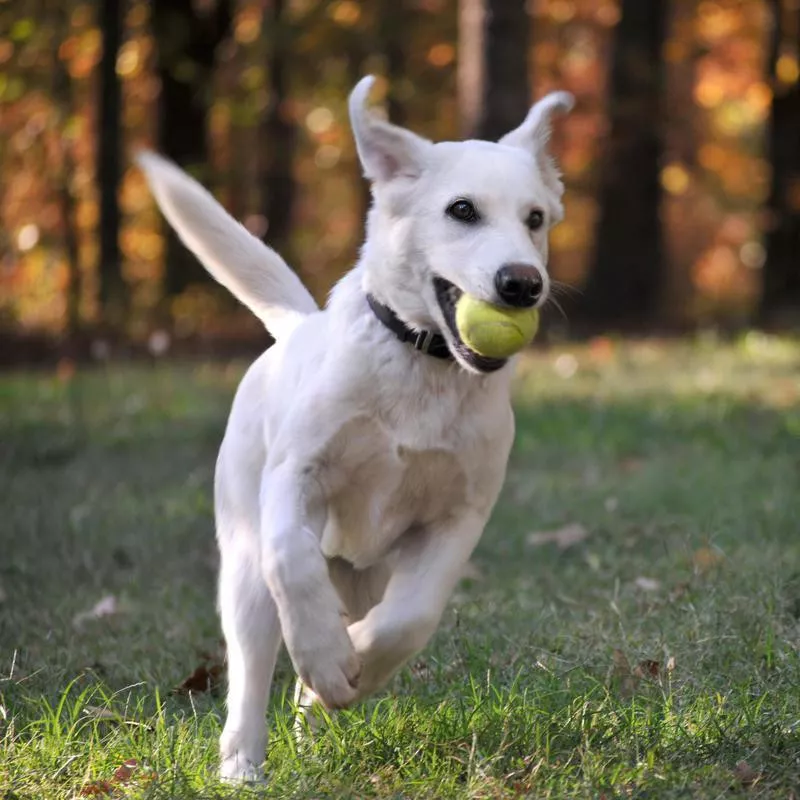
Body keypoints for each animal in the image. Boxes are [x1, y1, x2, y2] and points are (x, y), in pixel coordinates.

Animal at [139, 76, 576, 780]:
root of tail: (294, 327)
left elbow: (412, 617)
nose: (522, 284)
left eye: (535, 219)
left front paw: (348, 669)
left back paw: (316, 713)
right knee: (252, 660)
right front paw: (324, 657)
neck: (422, 364)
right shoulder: (294, 478)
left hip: (364, 574)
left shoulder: (459, 516)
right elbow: (290, 558)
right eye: (462, 210)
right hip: (244, 562)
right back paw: (243, 765)